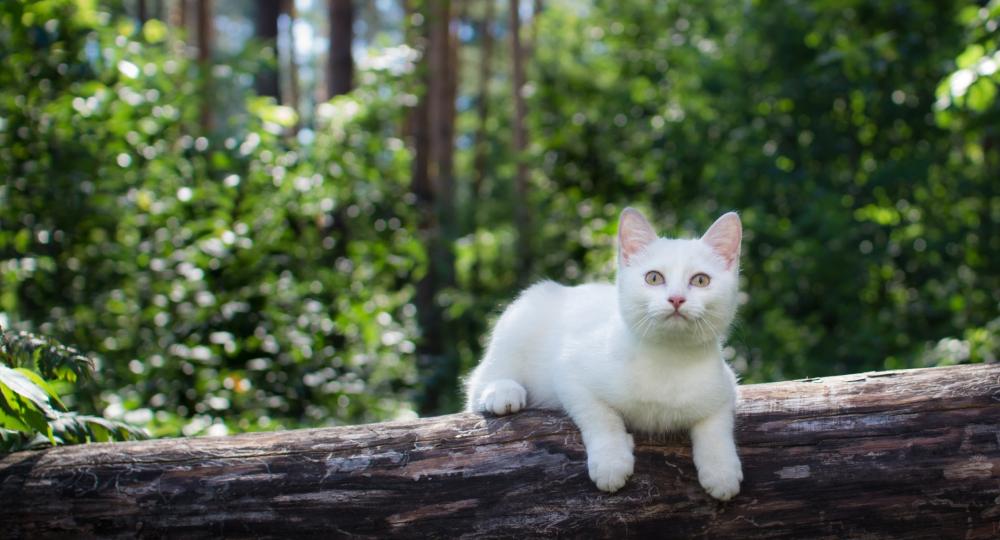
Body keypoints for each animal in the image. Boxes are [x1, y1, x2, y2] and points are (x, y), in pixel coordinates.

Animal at [466, 209, 744, 500]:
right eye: (653, 278)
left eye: (700, 280)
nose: (676, 299)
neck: (669, 358)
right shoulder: (570, 373)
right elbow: (601, 417)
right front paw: (611, 462)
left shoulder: (726, 385)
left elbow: (717, 425)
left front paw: (721, 471)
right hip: (520, 321)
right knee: (479, 382)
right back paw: (502, 391)